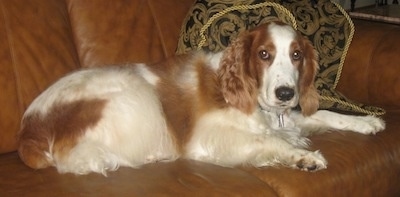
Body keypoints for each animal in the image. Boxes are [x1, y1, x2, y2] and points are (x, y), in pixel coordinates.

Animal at [17, 21, 386, 175]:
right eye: (264, 54)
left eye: (296, 55)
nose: (285, 93)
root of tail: (28, 129)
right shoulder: (209, 136)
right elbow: (270, 141)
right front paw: (303, 157)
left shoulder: (285, 116)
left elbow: (322, 115)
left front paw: (367, 121)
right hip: (137, 94)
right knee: (78, 160)